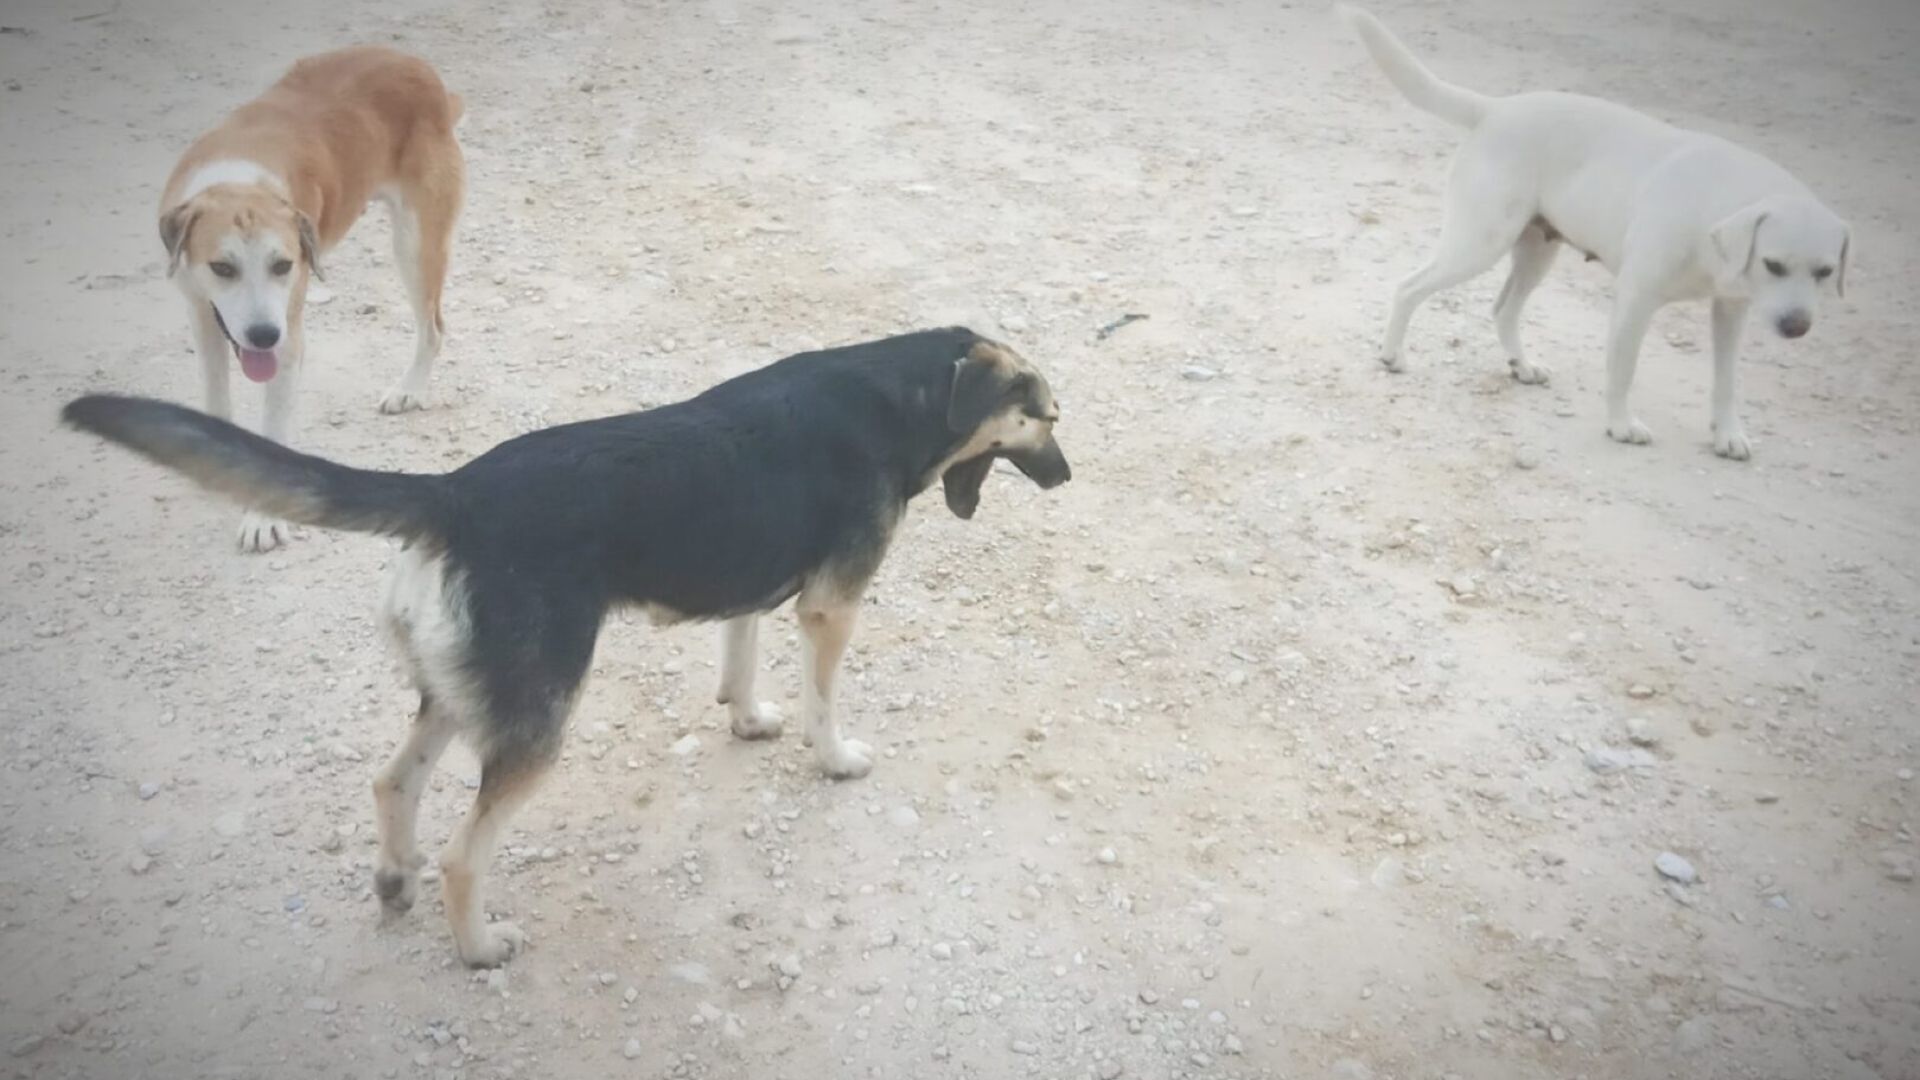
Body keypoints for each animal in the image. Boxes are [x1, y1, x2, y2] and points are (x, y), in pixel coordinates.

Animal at [63, 327, 1071, 967]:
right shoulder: (831, 608)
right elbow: (825, 703)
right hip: (538, 722)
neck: (901, 391)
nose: (1069, 476)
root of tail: (454, 494)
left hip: (469, 693)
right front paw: (836, 758)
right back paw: (478, 948)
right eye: (1047, 418)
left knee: (393, 782)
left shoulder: (750, 575)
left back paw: (393, 879)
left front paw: (747, 718)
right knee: (465, 855)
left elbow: (739, 660)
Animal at [160, 46, 465, 551]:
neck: (239, 181)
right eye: (222, 268)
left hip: (415, 243)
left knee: (434, 327)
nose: (264, 335)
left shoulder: (287, 339)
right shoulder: (201, 314)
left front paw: (262, 517)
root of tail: (415, 65)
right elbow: (216, 395)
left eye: (283, 265)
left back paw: (409, 389)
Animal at [1340, 6, 1850, 460]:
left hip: (1535, 254)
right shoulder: (1635, 301)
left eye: (1825, 272)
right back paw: (1392, 355)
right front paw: (1621, 426)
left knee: (1503, 309)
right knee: (1409, 287)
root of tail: (1496, 108)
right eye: (1773, 264)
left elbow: (1726, 382)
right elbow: (1622, 370)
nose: (1797, 327)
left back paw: (1522, 365)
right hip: (1478, 244)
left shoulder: (1731, 311)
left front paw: (1727, 435)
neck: (1715, 212)